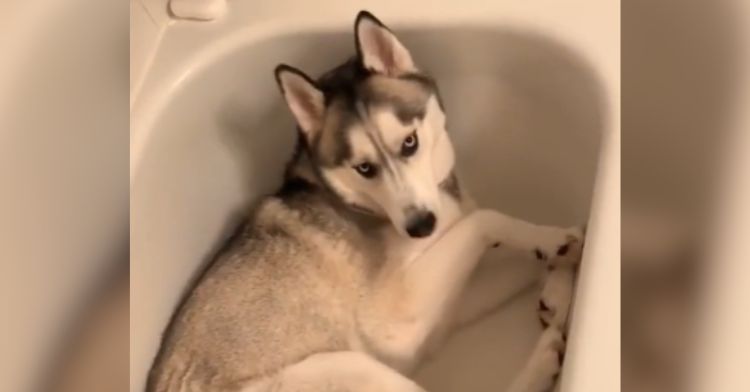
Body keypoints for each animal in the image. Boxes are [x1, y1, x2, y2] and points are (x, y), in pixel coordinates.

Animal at [145, 10, 580, 390]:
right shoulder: (397, 318)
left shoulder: (443, 314)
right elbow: (488, 220)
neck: (359, 205)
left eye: (410, 143)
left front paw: (562, 277)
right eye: (365, 168)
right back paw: (542, 361)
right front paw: (552, 240)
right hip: (349, 367)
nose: (421, 227)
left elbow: (513, 261)